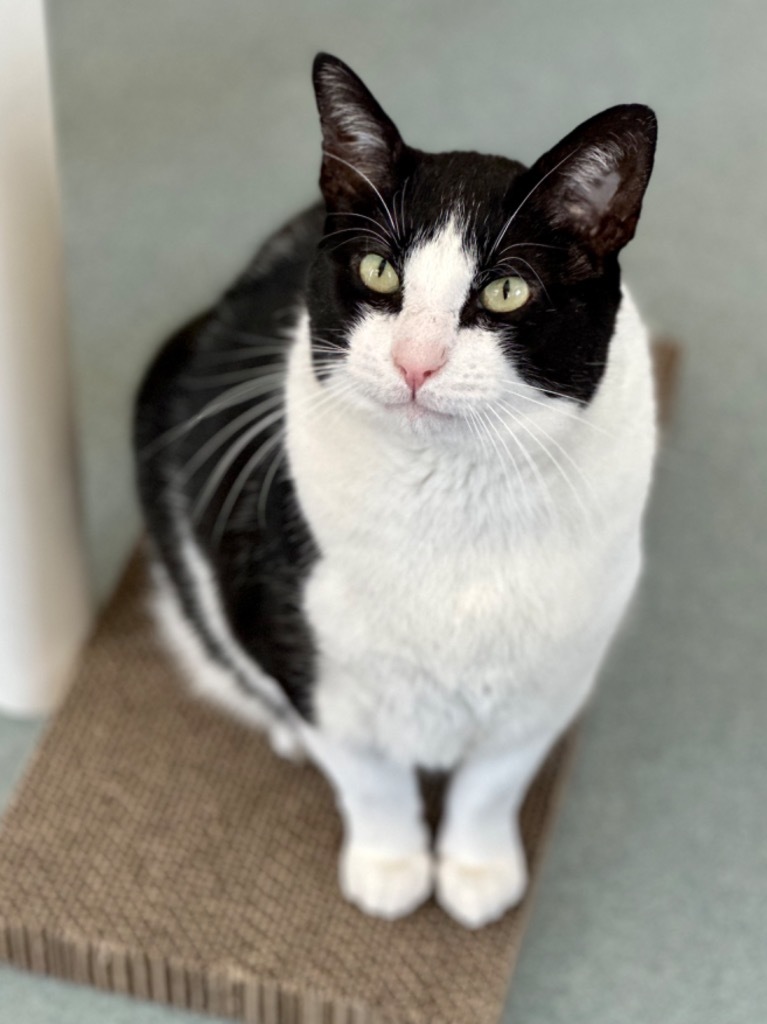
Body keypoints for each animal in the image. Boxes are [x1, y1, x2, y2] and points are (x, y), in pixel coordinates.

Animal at [134, 51, 655, 929]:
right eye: (378, 270)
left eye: (506, 291)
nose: (415, 361)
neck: (452, 503)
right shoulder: (309, 659)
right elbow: (369, 777)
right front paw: (391, 867)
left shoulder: (555, 674)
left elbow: (493, 782)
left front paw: (477, 871)